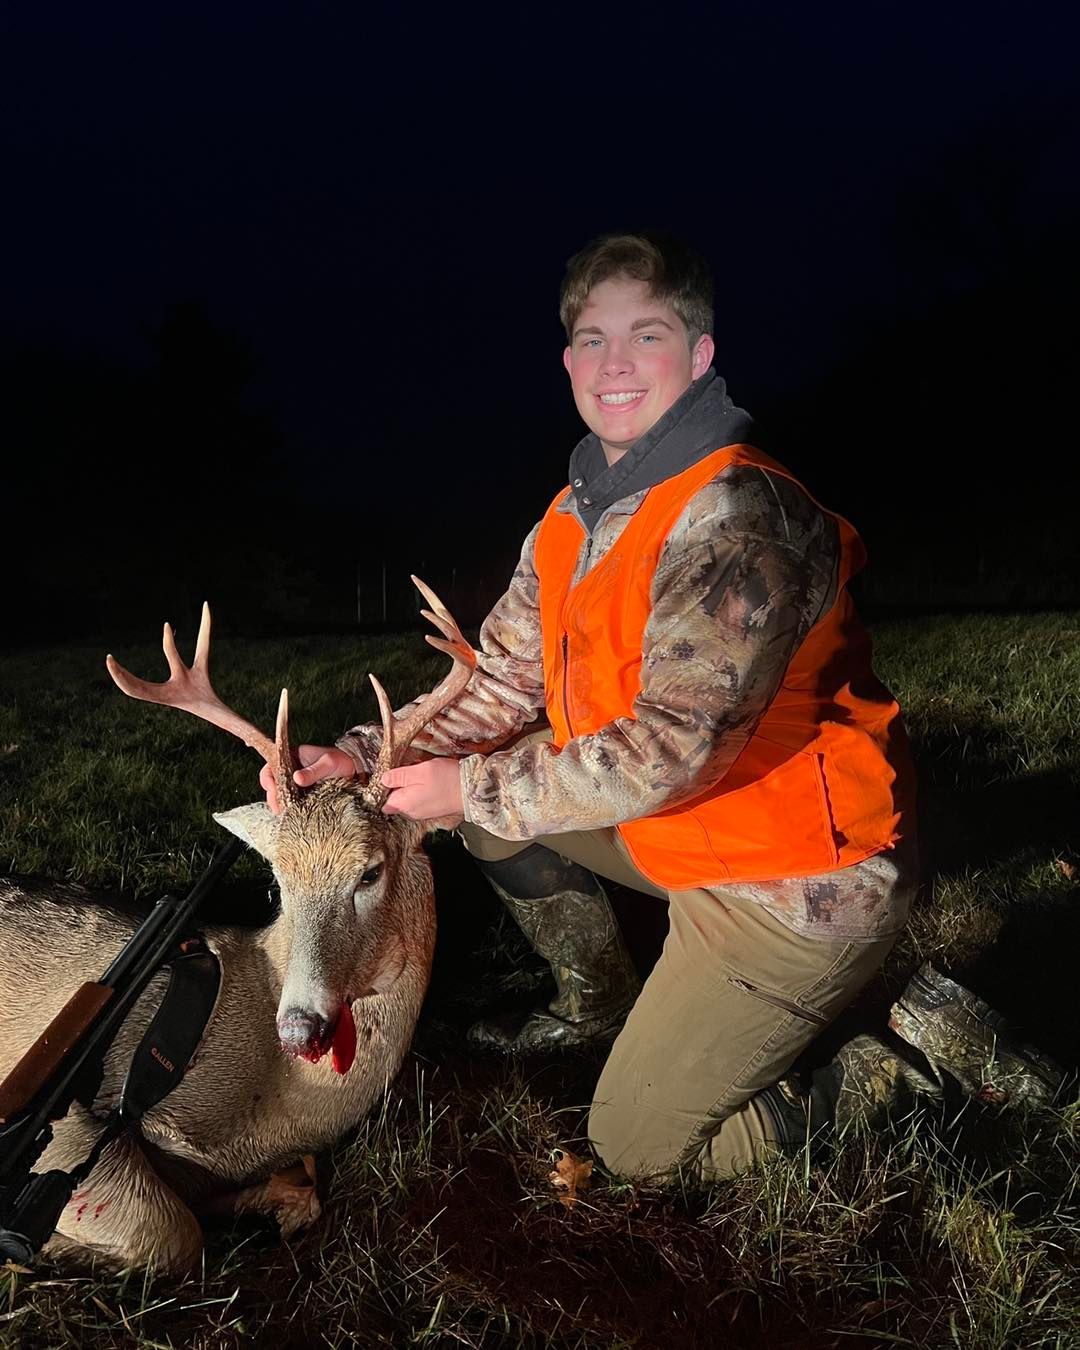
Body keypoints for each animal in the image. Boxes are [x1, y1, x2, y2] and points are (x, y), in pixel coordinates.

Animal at [0, 578, 474, 1275]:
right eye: (276, 881)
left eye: (370, 872)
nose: (300, 1026)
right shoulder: (70, 1118)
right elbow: (171, 1229)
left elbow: (298, 1191)